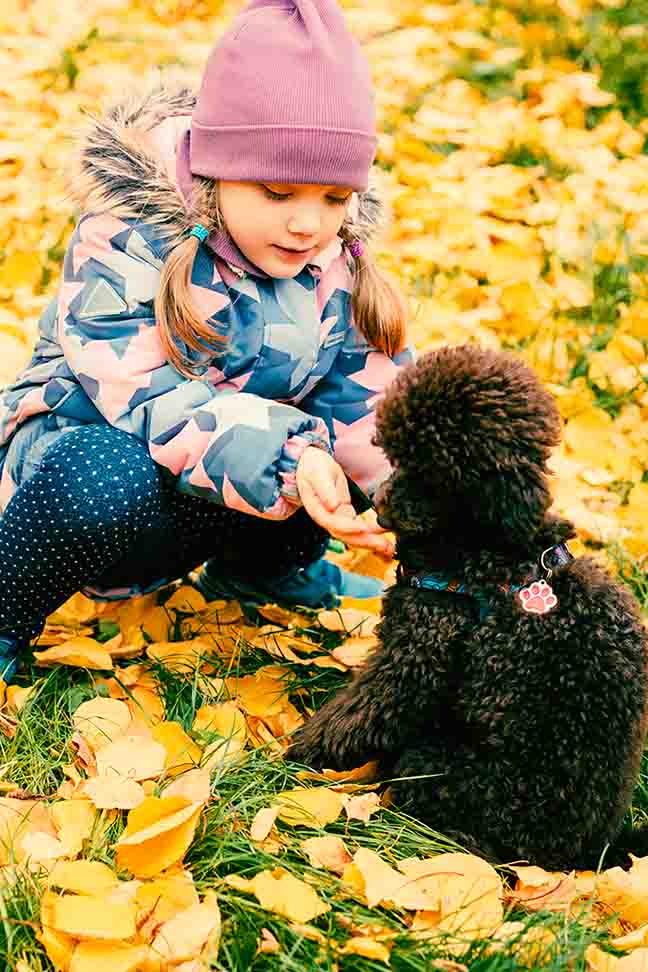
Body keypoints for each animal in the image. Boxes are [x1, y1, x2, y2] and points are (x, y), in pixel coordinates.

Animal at [292, 346, 648, 868]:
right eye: (397, 455)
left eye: (436, 476)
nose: (381, 503)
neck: (488, 550)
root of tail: (587, 854)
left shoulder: (415, 656)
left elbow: (355, 715)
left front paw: (291, 753)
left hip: (440, 768)